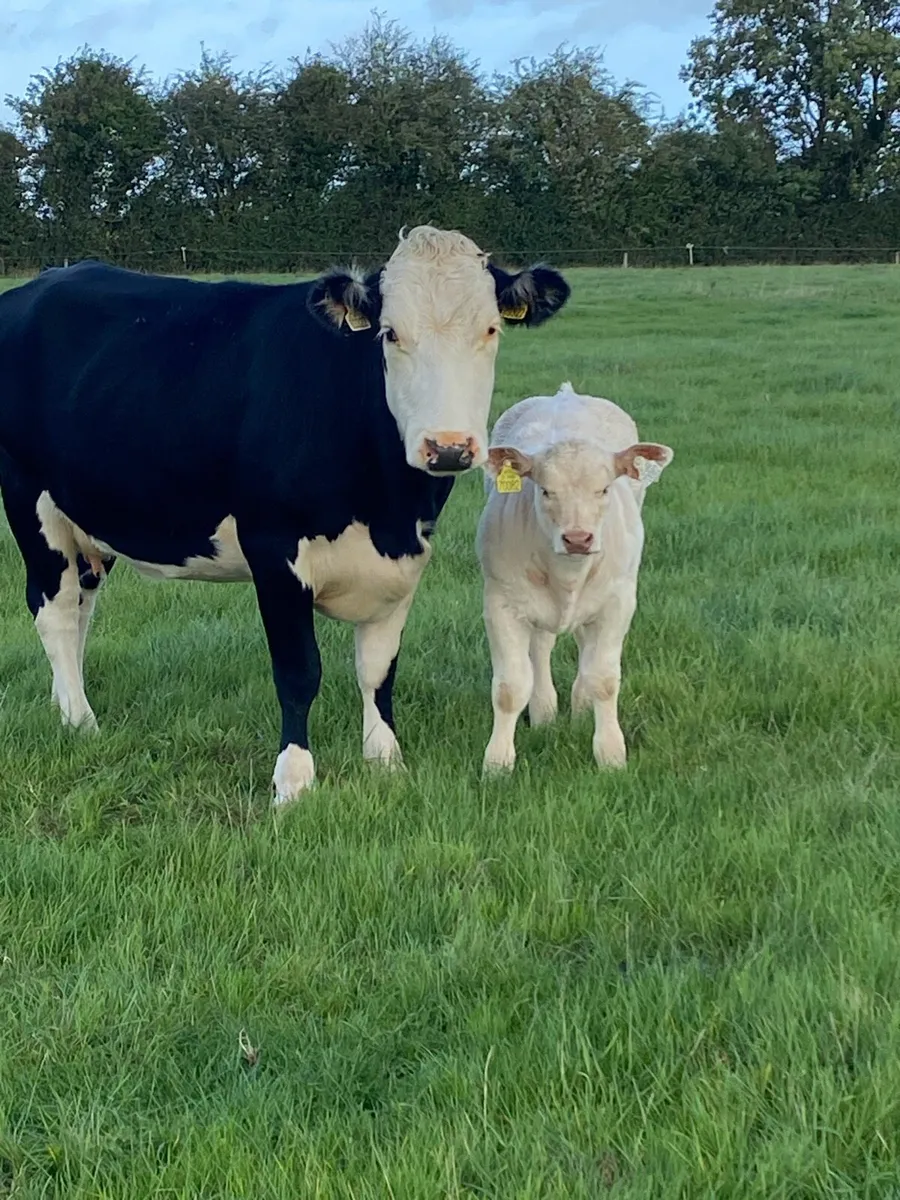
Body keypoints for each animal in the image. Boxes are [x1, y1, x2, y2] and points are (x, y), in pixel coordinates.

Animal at [0, 226, 570, 803]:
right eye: (390, 335)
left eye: (491, 329)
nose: (448, 448)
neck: (385, 506)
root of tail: (45, 281)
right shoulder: (273, 549)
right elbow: (299, 671)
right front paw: (293, 780)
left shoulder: (407, 555)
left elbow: (378, 668)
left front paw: (386, 760)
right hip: (30, 501)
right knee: (53, 609)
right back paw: (80, 721)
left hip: (89, 519)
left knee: (81, 607)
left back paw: (66, 700)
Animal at [475, 382, 673, 776]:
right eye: (545, 490)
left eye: (604, 489)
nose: (578, 538)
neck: (567, 574)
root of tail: (565, 394)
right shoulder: (501, 603)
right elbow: (509, 688)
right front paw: (498, 762)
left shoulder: (618, 604)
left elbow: (604, 680)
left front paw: (610, 755)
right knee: (541, 647)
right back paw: (545, 711)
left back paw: (580, 707)